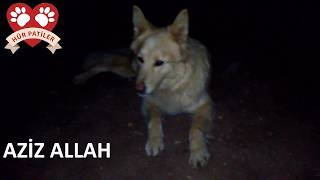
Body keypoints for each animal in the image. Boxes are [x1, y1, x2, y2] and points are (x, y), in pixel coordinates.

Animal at [74, 5, 214, 167]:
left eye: (159, 62)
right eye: (141, 59)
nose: (138, 89)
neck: (171, 87)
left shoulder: (206, 105)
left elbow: (196, 128)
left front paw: (198, 151)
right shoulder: (148, 102)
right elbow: (154, 120)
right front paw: (154, 141)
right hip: (128, 67)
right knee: (101, 66)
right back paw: (81, 77)